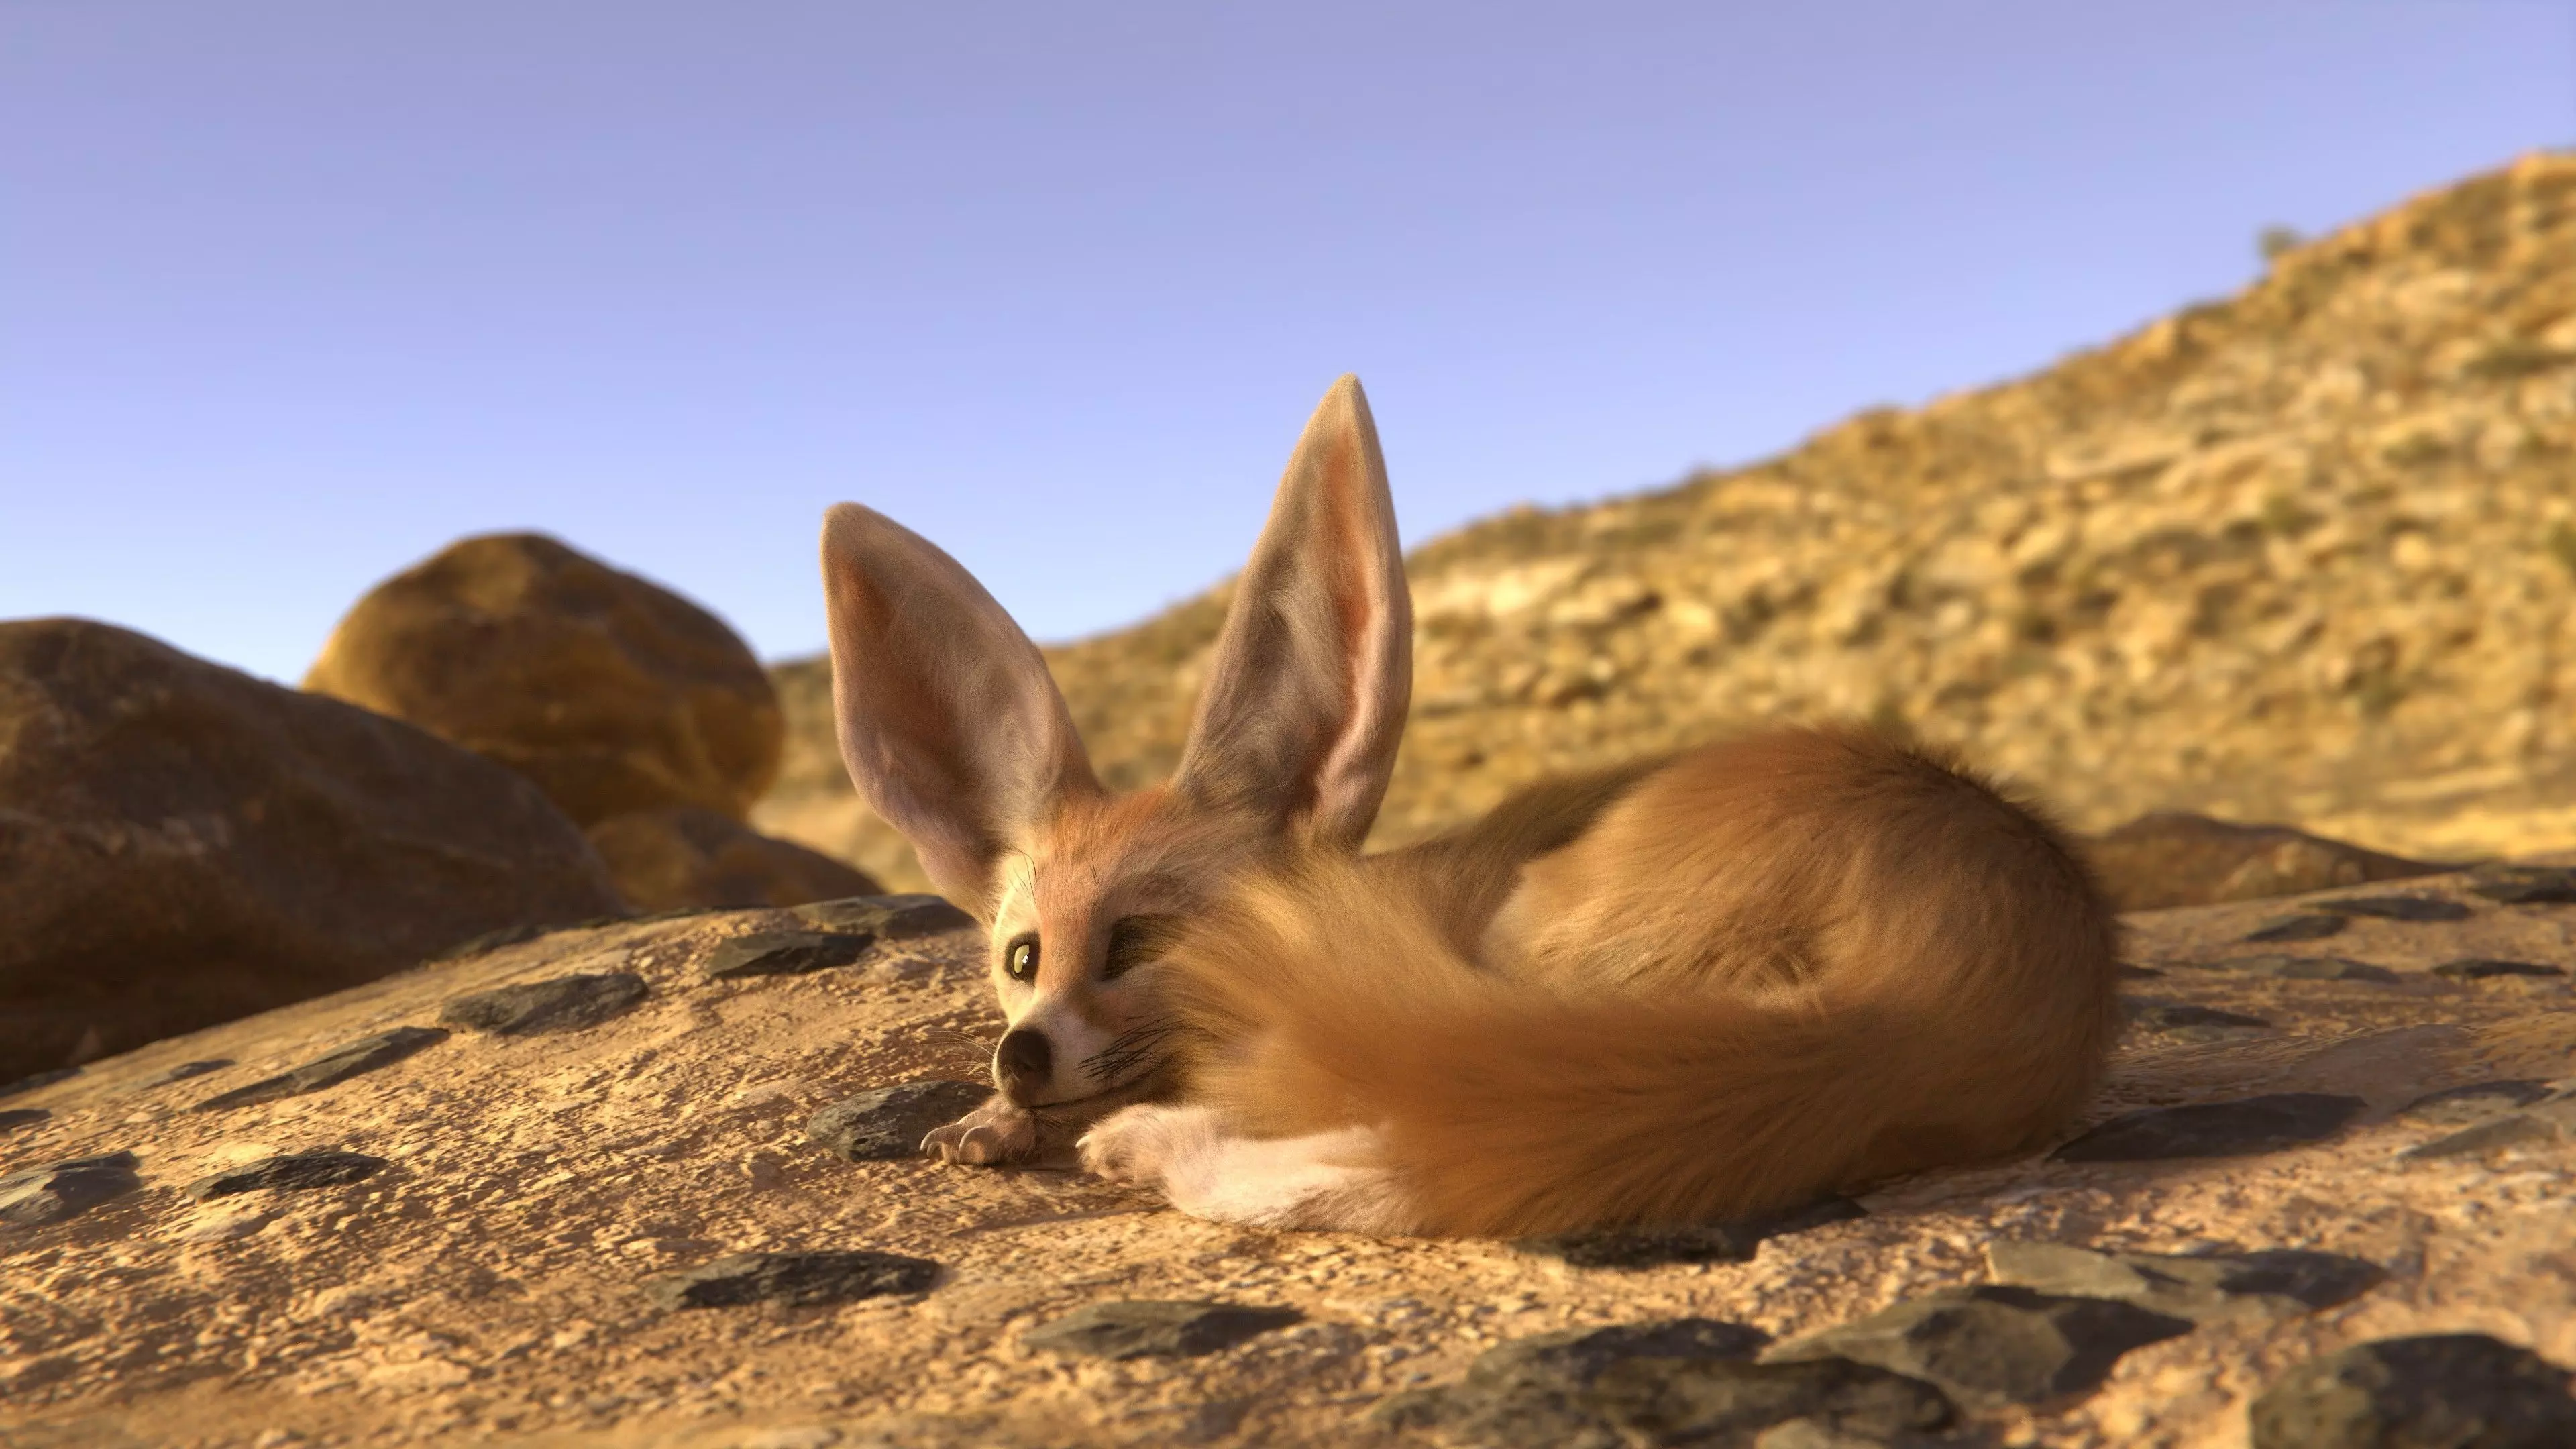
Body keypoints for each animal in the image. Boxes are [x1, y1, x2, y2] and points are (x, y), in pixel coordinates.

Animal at [816, 375, 2120, 1237]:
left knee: (1408, 1156)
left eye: (1136, 941)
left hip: (1540, 952)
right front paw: (988, 1122)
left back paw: (1159, 1151)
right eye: (1021, 956)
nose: (1021, 1054)